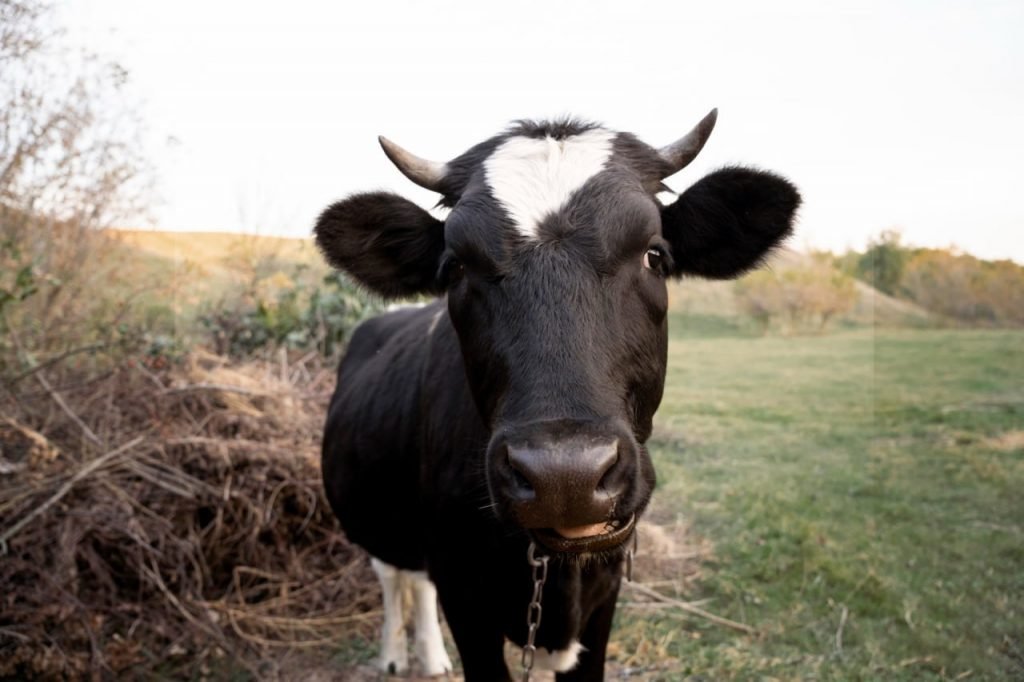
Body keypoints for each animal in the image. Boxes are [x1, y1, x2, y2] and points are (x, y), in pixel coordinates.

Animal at [314, 110, 799, 680]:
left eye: (655, 255)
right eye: (455, 267)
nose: (565, 475)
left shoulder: (603, 596)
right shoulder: (464, 595)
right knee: (396, 575)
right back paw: (396, 654)